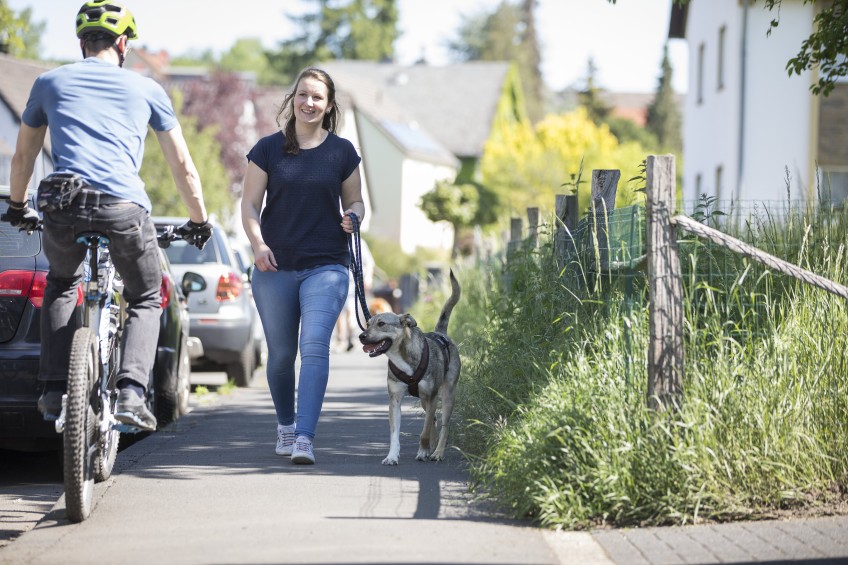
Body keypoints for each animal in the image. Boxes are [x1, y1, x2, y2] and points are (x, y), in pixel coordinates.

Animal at [360, 270, 464, 464]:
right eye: (368, 324)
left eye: (381, 324)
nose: (361, 336)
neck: (401, 356)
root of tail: (441, 334)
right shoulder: (394, 400)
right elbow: (395, 434)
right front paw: (392, 456)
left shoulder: (432, 397)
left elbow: (424, 432)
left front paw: (422, 452)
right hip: (424, 401)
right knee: (434, 420)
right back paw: (432, 446)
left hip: (446, 395)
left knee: (444, 424)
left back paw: (438, 452)